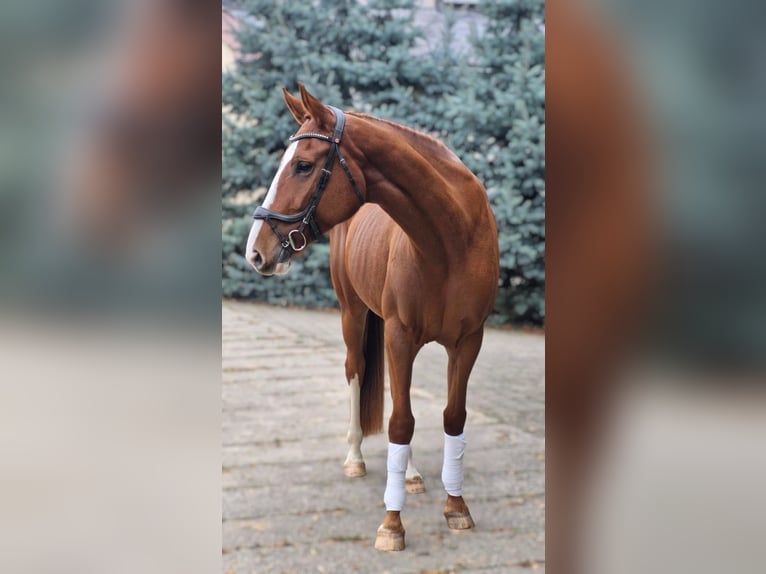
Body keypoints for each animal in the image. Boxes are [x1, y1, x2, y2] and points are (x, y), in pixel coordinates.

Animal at [245, 83, 499, 551]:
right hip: (353, 312)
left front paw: (456, 508)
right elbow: (399, 423)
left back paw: (413, 475)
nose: (256, 251)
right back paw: (355, 459)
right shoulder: (399, 335)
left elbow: (451, 417)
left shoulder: (469, 340)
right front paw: (392, 524)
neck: (450, 241)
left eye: (303, 165)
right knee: (357, 370)